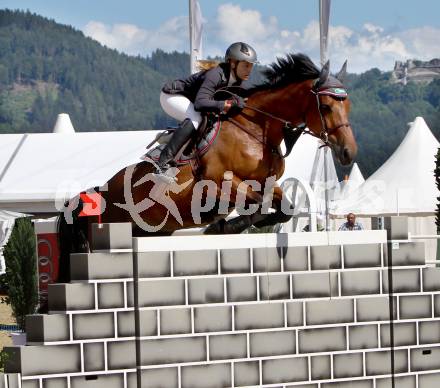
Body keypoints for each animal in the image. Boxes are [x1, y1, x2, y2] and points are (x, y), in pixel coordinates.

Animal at [56, 53, 356, 280]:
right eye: (326, 107)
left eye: (348, 106)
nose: (348, 153)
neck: (255, 129)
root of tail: (101, 190)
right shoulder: (221, 182)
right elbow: (258, 204)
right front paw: (222, 227)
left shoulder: (268, 183)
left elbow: (284, 210)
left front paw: (227, 226)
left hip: (150, 230)